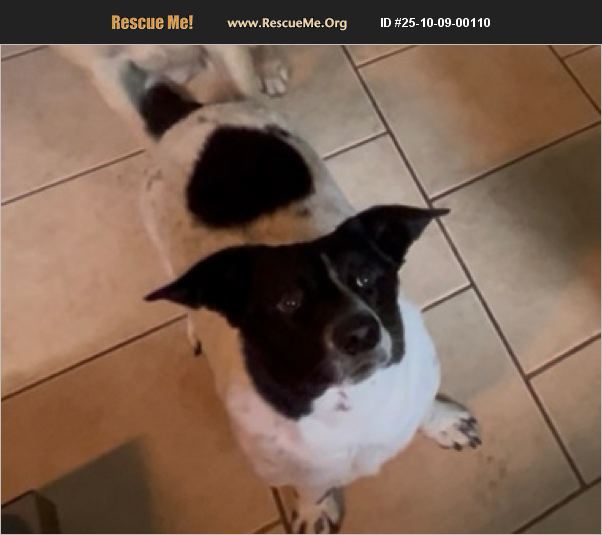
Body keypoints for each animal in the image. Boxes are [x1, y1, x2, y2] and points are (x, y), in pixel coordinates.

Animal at [62, 47, 481, 533]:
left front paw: (442, 421)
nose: (360, 332)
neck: (351, 405)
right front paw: (315, 508)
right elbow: (312, 485)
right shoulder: (287, 466)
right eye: (288, 302)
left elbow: (424, 404)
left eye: (365, 278)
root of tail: (196, 115)